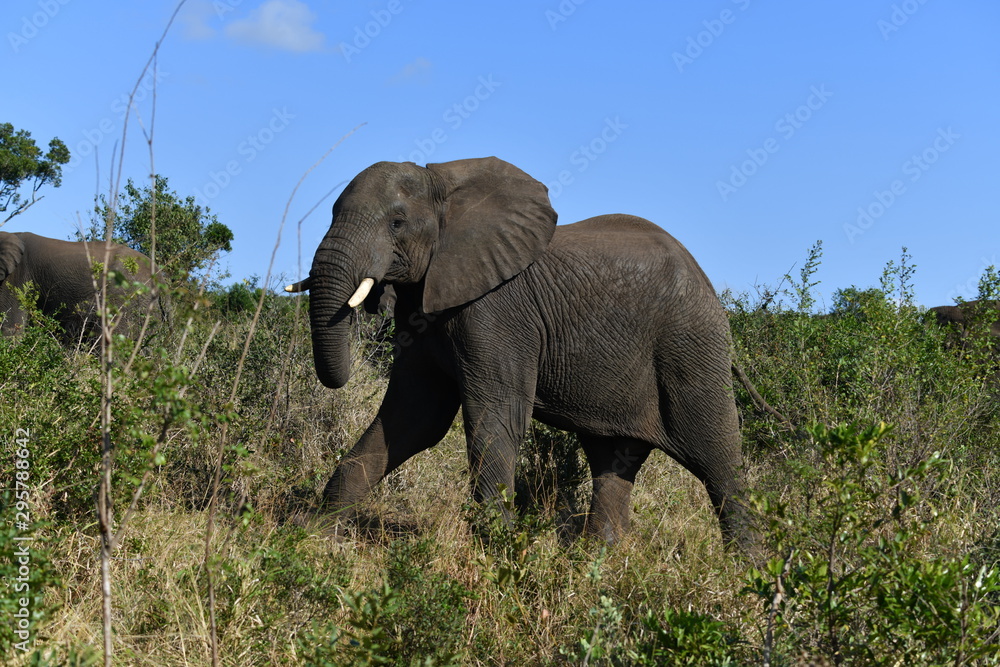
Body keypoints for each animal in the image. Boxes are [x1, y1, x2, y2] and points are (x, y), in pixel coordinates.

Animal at [289, 157, 755, 551]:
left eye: (397, 222)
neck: (445, 188)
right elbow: (414, 418)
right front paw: (315, 538)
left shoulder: (497, 311)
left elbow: (495, 420)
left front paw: (499, 553)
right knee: (612, 459)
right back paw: (601, 561)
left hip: (690, 344)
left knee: (719, 460)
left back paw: (746, 576)